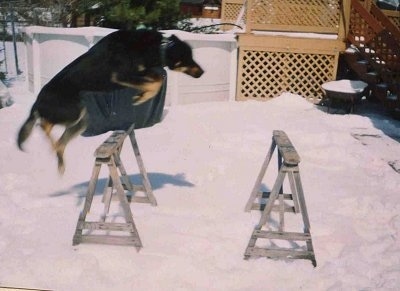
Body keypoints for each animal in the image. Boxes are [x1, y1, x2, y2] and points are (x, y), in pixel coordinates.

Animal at [17, 30, 203, 173]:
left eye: (193, 56)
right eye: (188, 58)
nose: (202, 72)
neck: (157, 46)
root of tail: (37, 101)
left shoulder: (141, 71)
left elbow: (158, 79)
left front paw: (142, 95)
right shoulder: (121, 75)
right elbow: (156, 82)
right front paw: (142, 96)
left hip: (81, 121)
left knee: (59, 142)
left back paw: (60, 160)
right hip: (72, 114)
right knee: (43, 124)